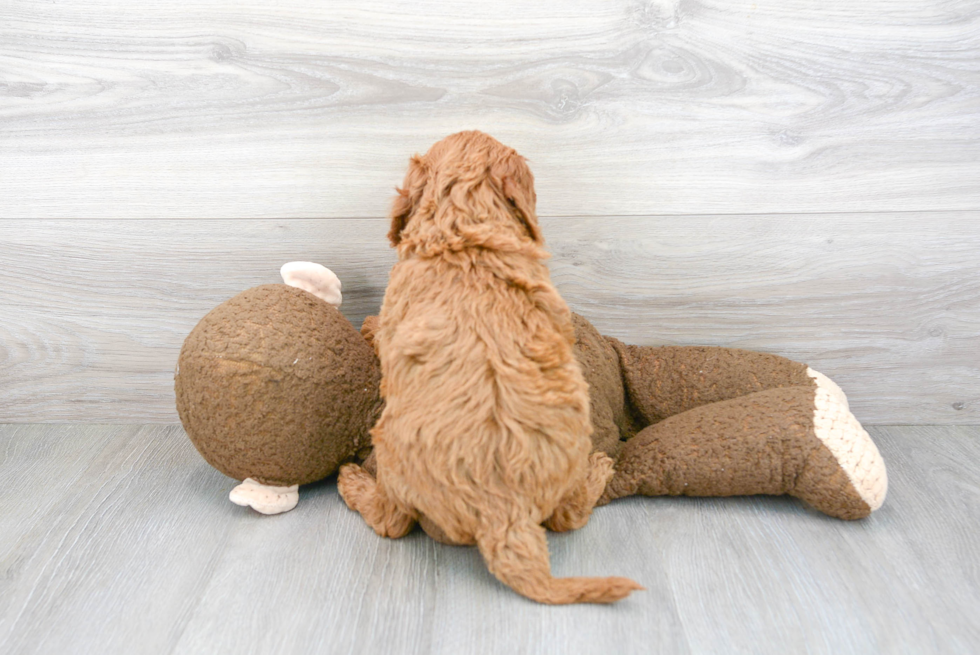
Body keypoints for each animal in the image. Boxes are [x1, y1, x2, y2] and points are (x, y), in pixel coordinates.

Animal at [336, 132, 644, 604]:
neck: (466, 233)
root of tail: (505, 511)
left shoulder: (395, 314)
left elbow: (380, 332)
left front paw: (366, 325)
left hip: (388, 452)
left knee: (392, 522)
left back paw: (352, 482)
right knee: (569, 516)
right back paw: (598, 468)